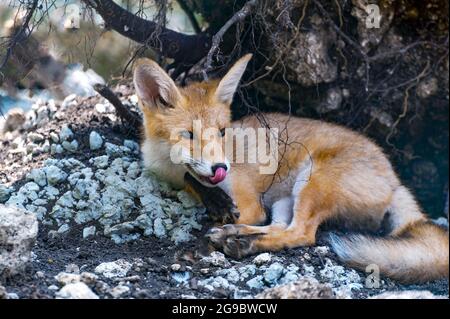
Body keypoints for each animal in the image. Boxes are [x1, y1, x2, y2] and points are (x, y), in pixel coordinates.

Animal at [134, 53, 450, 284]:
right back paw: (236, 236)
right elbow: (198, 186)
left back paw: (241, 243)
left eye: (222, 132)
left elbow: (220, 212)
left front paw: (203, 236)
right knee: (278, 227)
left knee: (301, 234)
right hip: (286, 200)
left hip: (312, 181)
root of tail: (396, 181)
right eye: (188, 134)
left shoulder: (248, 200)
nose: (220, 167)